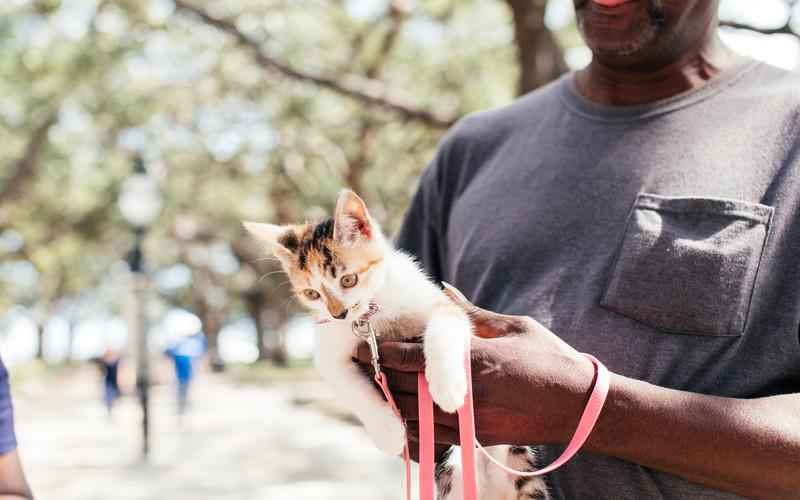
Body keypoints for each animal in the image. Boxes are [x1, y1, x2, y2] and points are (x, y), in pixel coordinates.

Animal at [241, 189, 548, 498]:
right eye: (312, 294)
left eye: (348, 280)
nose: (338, 313)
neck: (371, 317)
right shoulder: (329, 353)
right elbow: (351, 388)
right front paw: (388, 433)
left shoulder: (446, 305)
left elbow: (445, 328)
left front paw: (447, 388)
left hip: (519, 465)